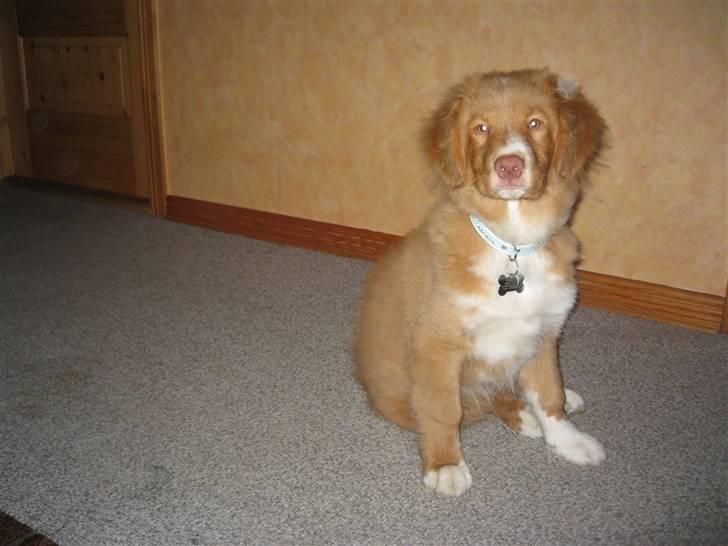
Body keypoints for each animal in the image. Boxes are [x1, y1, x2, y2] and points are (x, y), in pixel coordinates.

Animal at [356, 67, 604, 492]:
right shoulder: (436, 343)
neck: (513, 242)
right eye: (481, 128)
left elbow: (549, 393)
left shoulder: (544, 331)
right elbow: (443, 409)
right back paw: (519, 413)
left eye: (535, 123)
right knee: (475, 403)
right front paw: (444, 464)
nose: (509, 166)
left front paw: (568, 440)